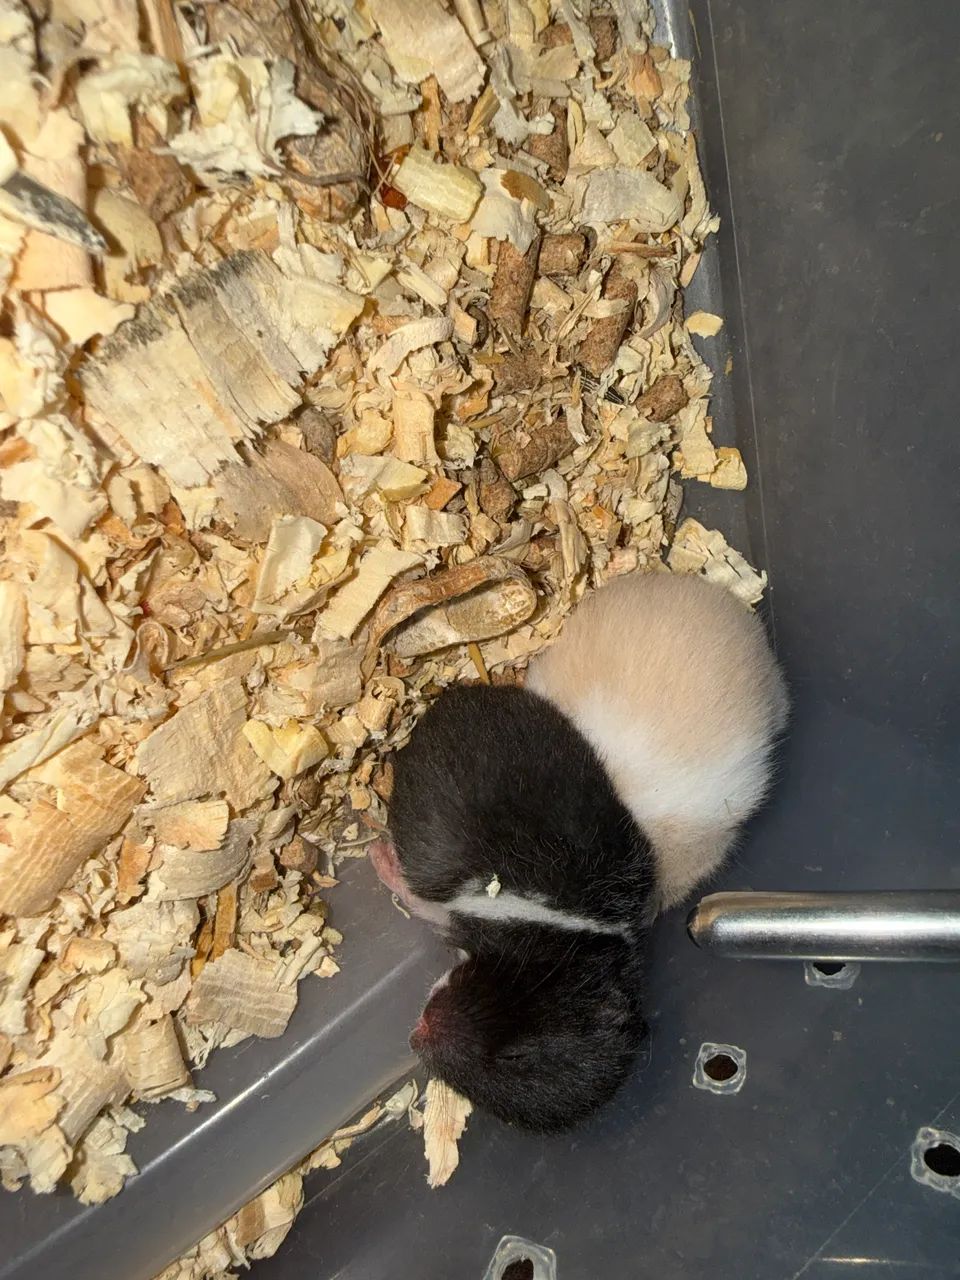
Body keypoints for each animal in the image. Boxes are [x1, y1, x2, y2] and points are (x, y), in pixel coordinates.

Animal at [372, 572, 787, 1132]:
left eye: (515, 1058)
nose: (417, 1034)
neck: (586, 937)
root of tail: (727, 602)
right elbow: (426, 903)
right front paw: (382, 859)